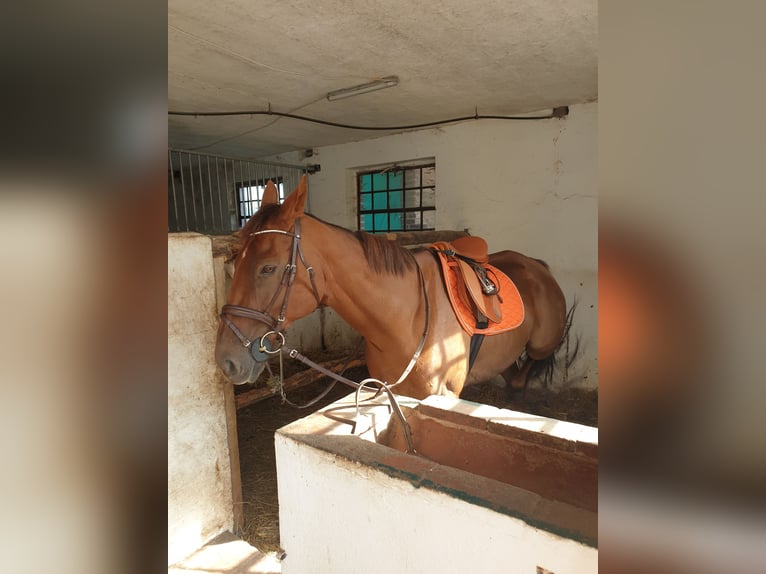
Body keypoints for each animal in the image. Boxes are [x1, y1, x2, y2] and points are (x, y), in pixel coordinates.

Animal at [216, 177, 576, 400]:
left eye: (268, 267)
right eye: (233, 264)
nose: (226, 361)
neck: (406, 318)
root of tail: (536, 265)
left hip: (542, 344)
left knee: (526, 370)